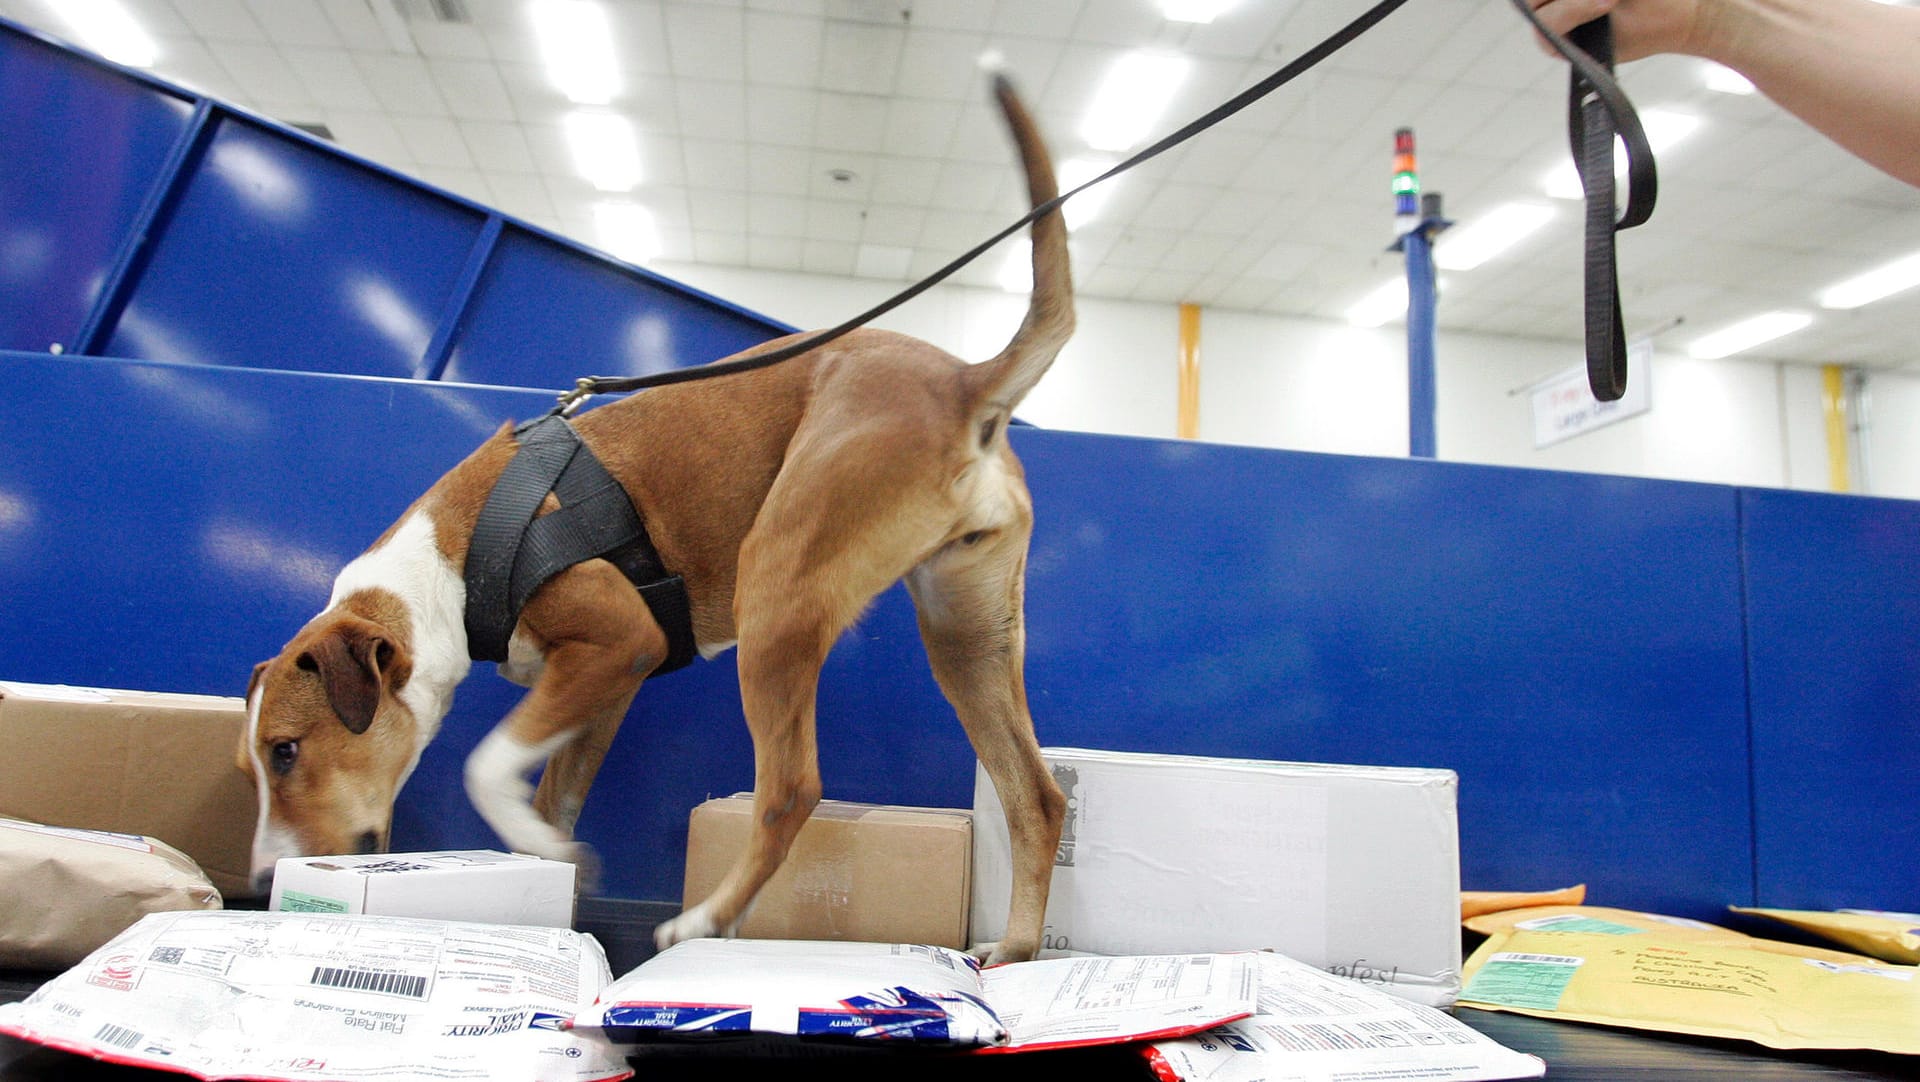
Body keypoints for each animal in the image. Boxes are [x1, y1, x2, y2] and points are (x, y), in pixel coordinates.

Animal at [236, 80, 1067, 966]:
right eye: (253, 768)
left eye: (286, 751)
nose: (259, 883)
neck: (451, 561)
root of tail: (963, 382)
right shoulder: (603, 685)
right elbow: (551, 794)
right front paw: (547, 864)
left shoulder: (617, 638)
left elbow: (486, 767)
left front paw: (539, 844)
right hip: (967, 640)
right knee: (1035, 798)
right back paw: (1017, 947)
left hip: (775, 594)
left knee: (791, 790)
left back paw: (704, 921)